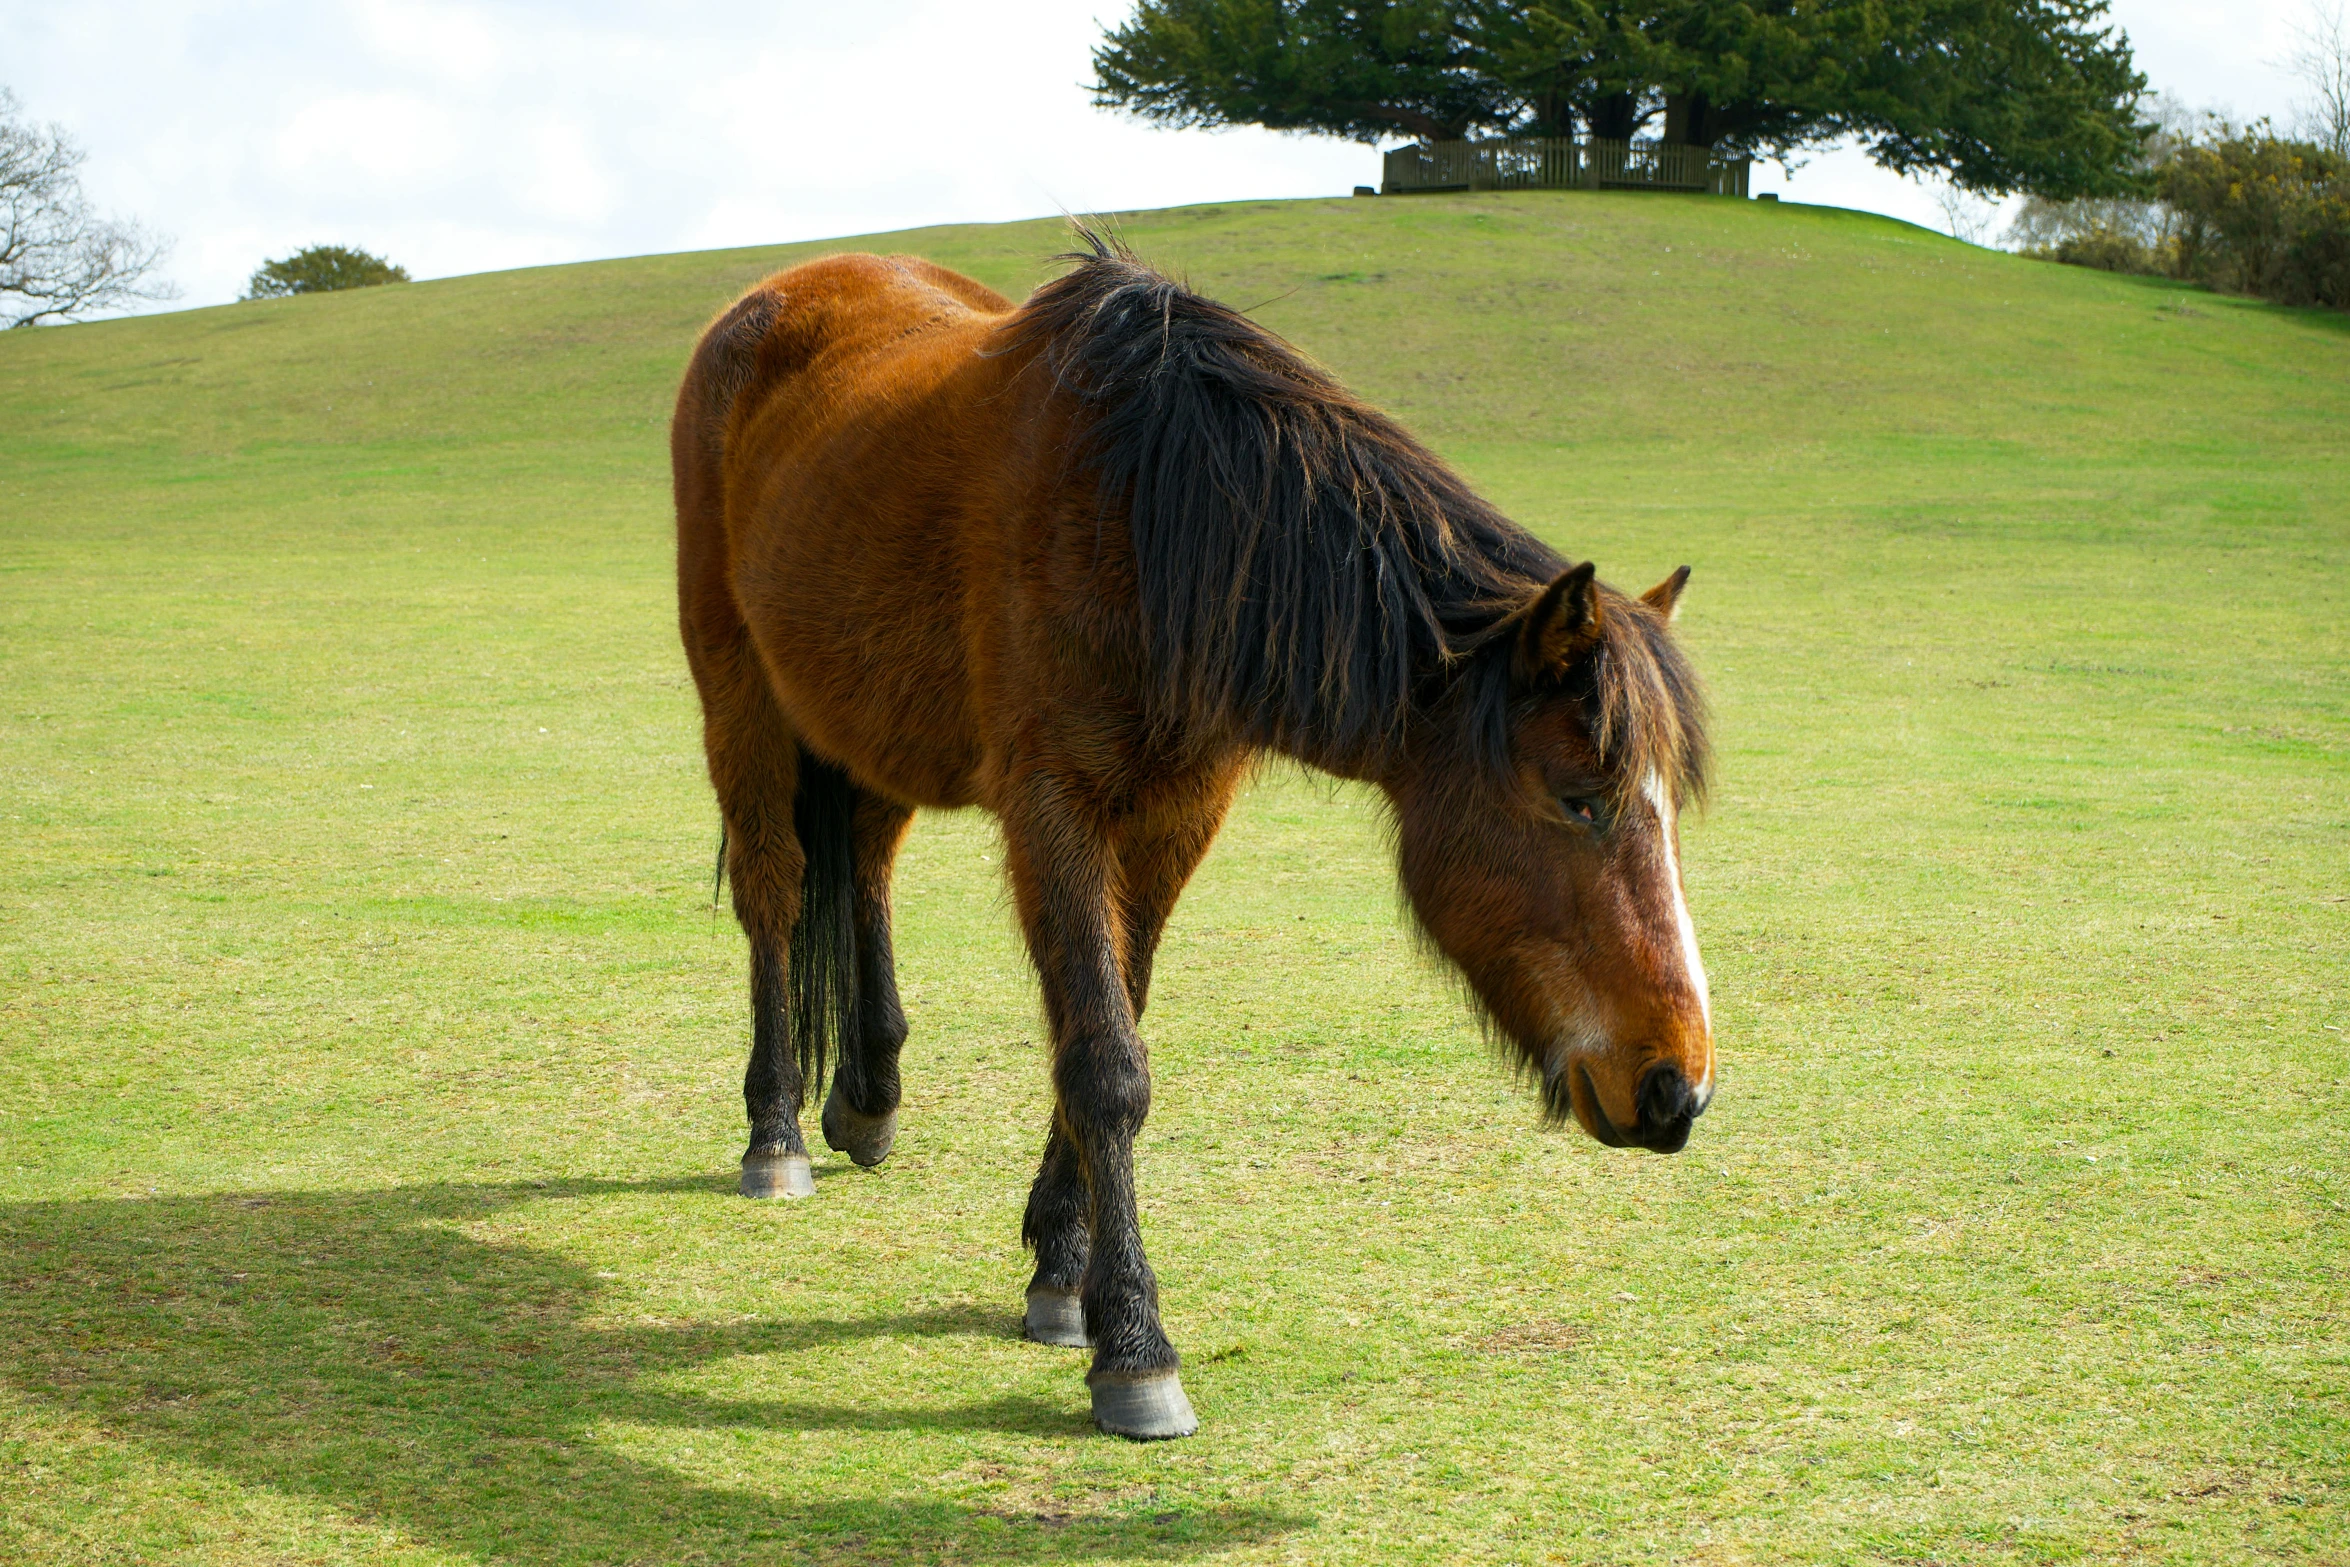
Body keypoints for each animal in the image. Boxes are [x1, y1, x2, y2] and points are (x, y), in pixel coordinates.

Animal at [672, 226, 1720, 1437]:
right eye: (1581, 797)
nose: (1679, 1087)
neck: (1150, 518)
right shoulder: (1055, 810)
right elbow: (1103, 1063)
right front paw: (1133, 1344)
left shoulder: (1173, 819)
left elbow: (1111, 1017)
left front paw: (1058, 1270)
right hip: (740, 688)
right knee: (775, 888)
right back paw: (777, 1133)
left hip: (866, 716)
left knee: (870, 865)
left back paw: (867, 1099)